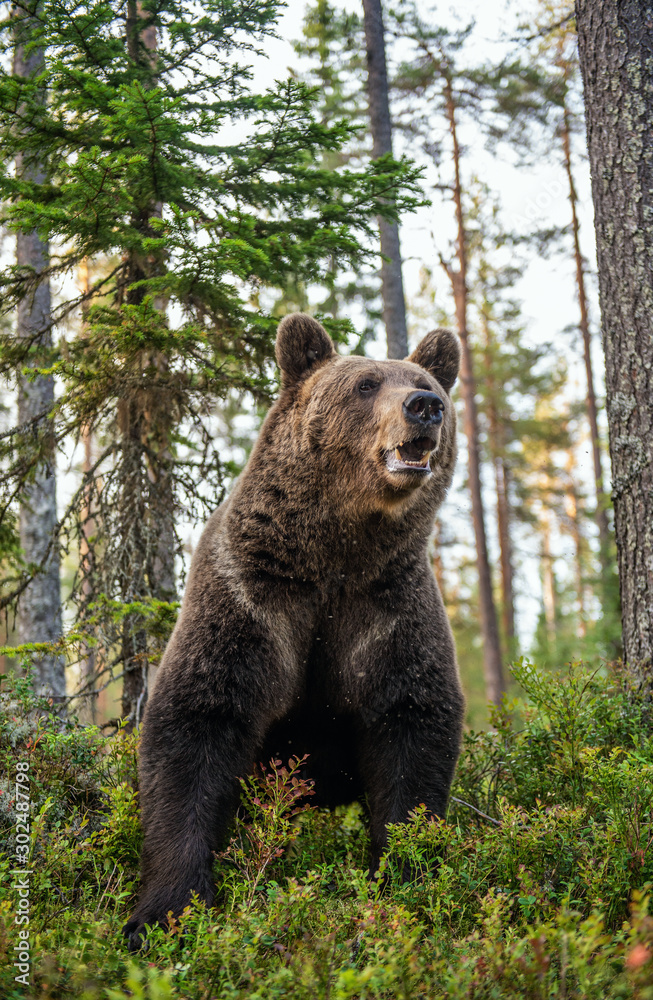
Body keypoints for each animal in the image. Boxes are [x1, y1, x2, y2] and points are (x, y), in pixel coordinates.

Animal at [123, 313, 465, 950]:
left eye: (426, 380)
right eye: (366, 384)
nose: (425, 407)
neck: (336, 552)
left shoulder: (386, 606)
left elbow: (411, 725)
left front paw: (407, 880)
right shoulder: (254, 596)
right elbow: (197, 721)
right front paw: (163, 912)